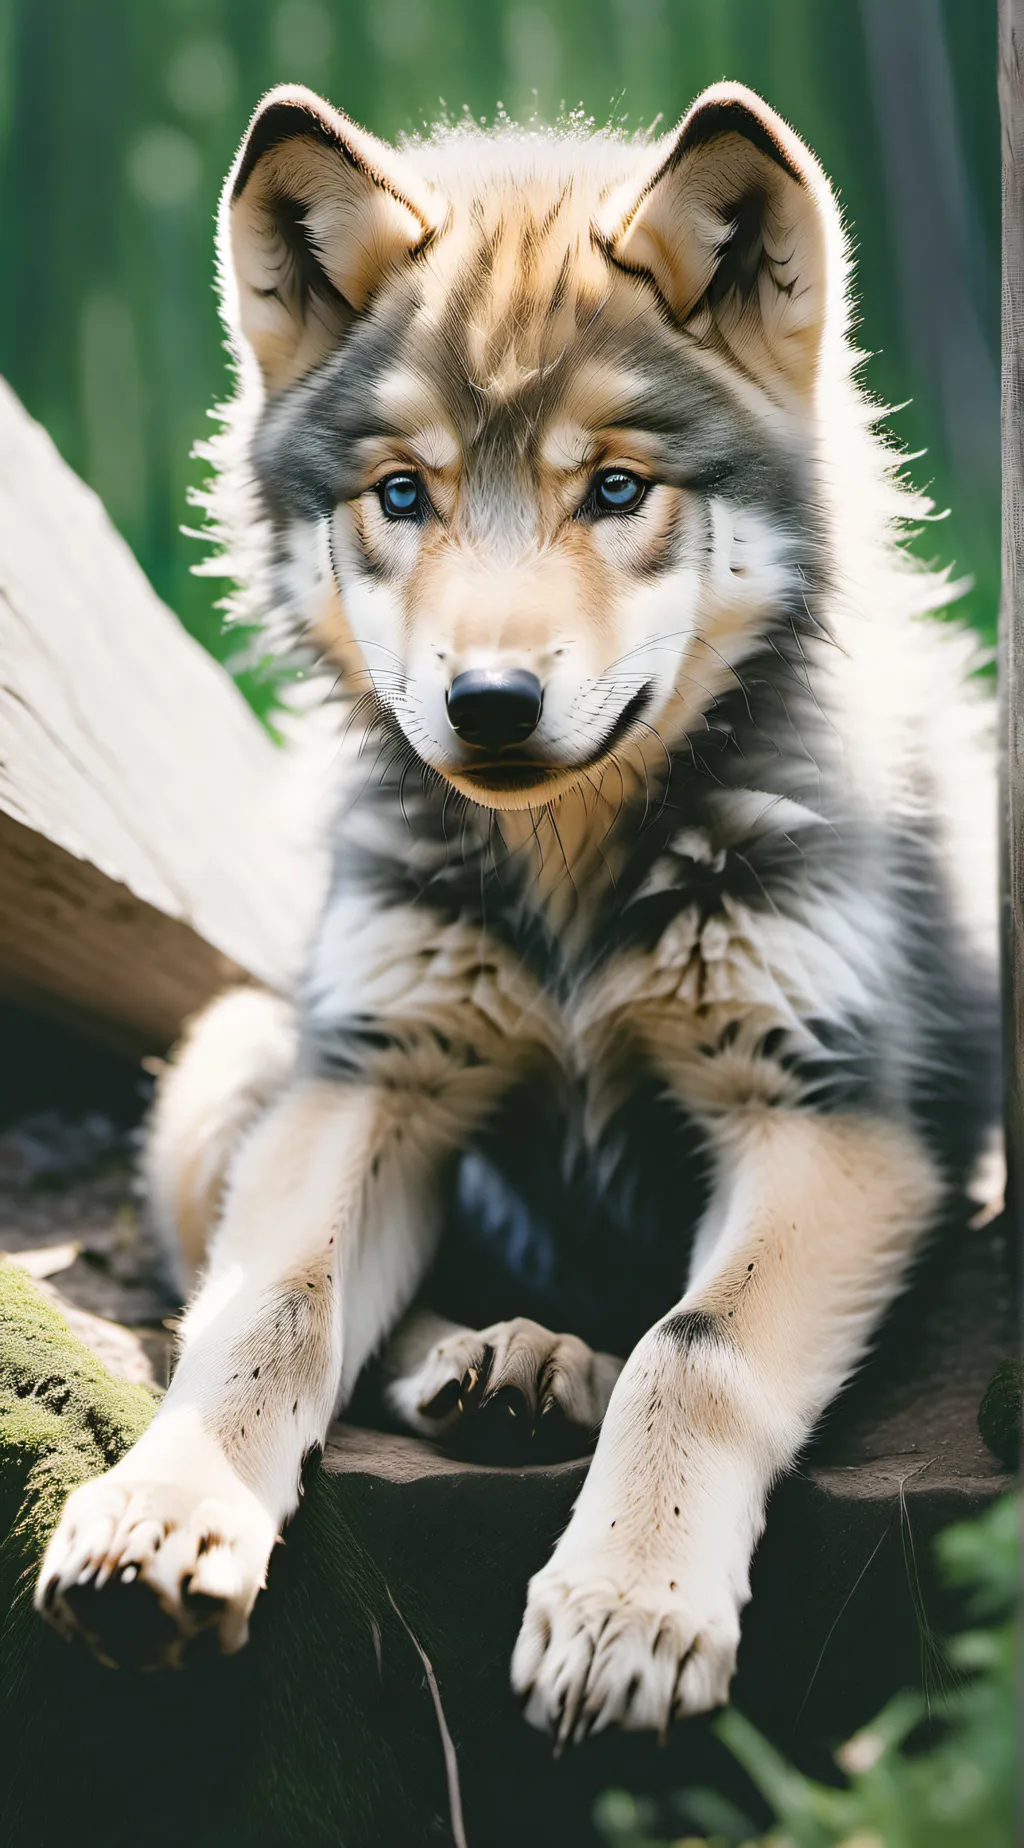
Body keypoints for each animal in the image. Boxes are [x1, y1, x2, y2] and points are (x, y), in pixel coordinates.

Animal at [36, 80, 998, 1742]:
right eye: (400, 495)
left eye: (614, 489)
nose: (487, 703)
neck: (569, 876)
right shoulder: (372, 1077)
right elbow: (276, 1310)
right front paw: (167, 1507)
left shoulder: (832, 1118)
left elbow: (692, 1349)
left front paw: (627, 1604)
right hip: (243, 1057)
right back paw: (498, 1362)